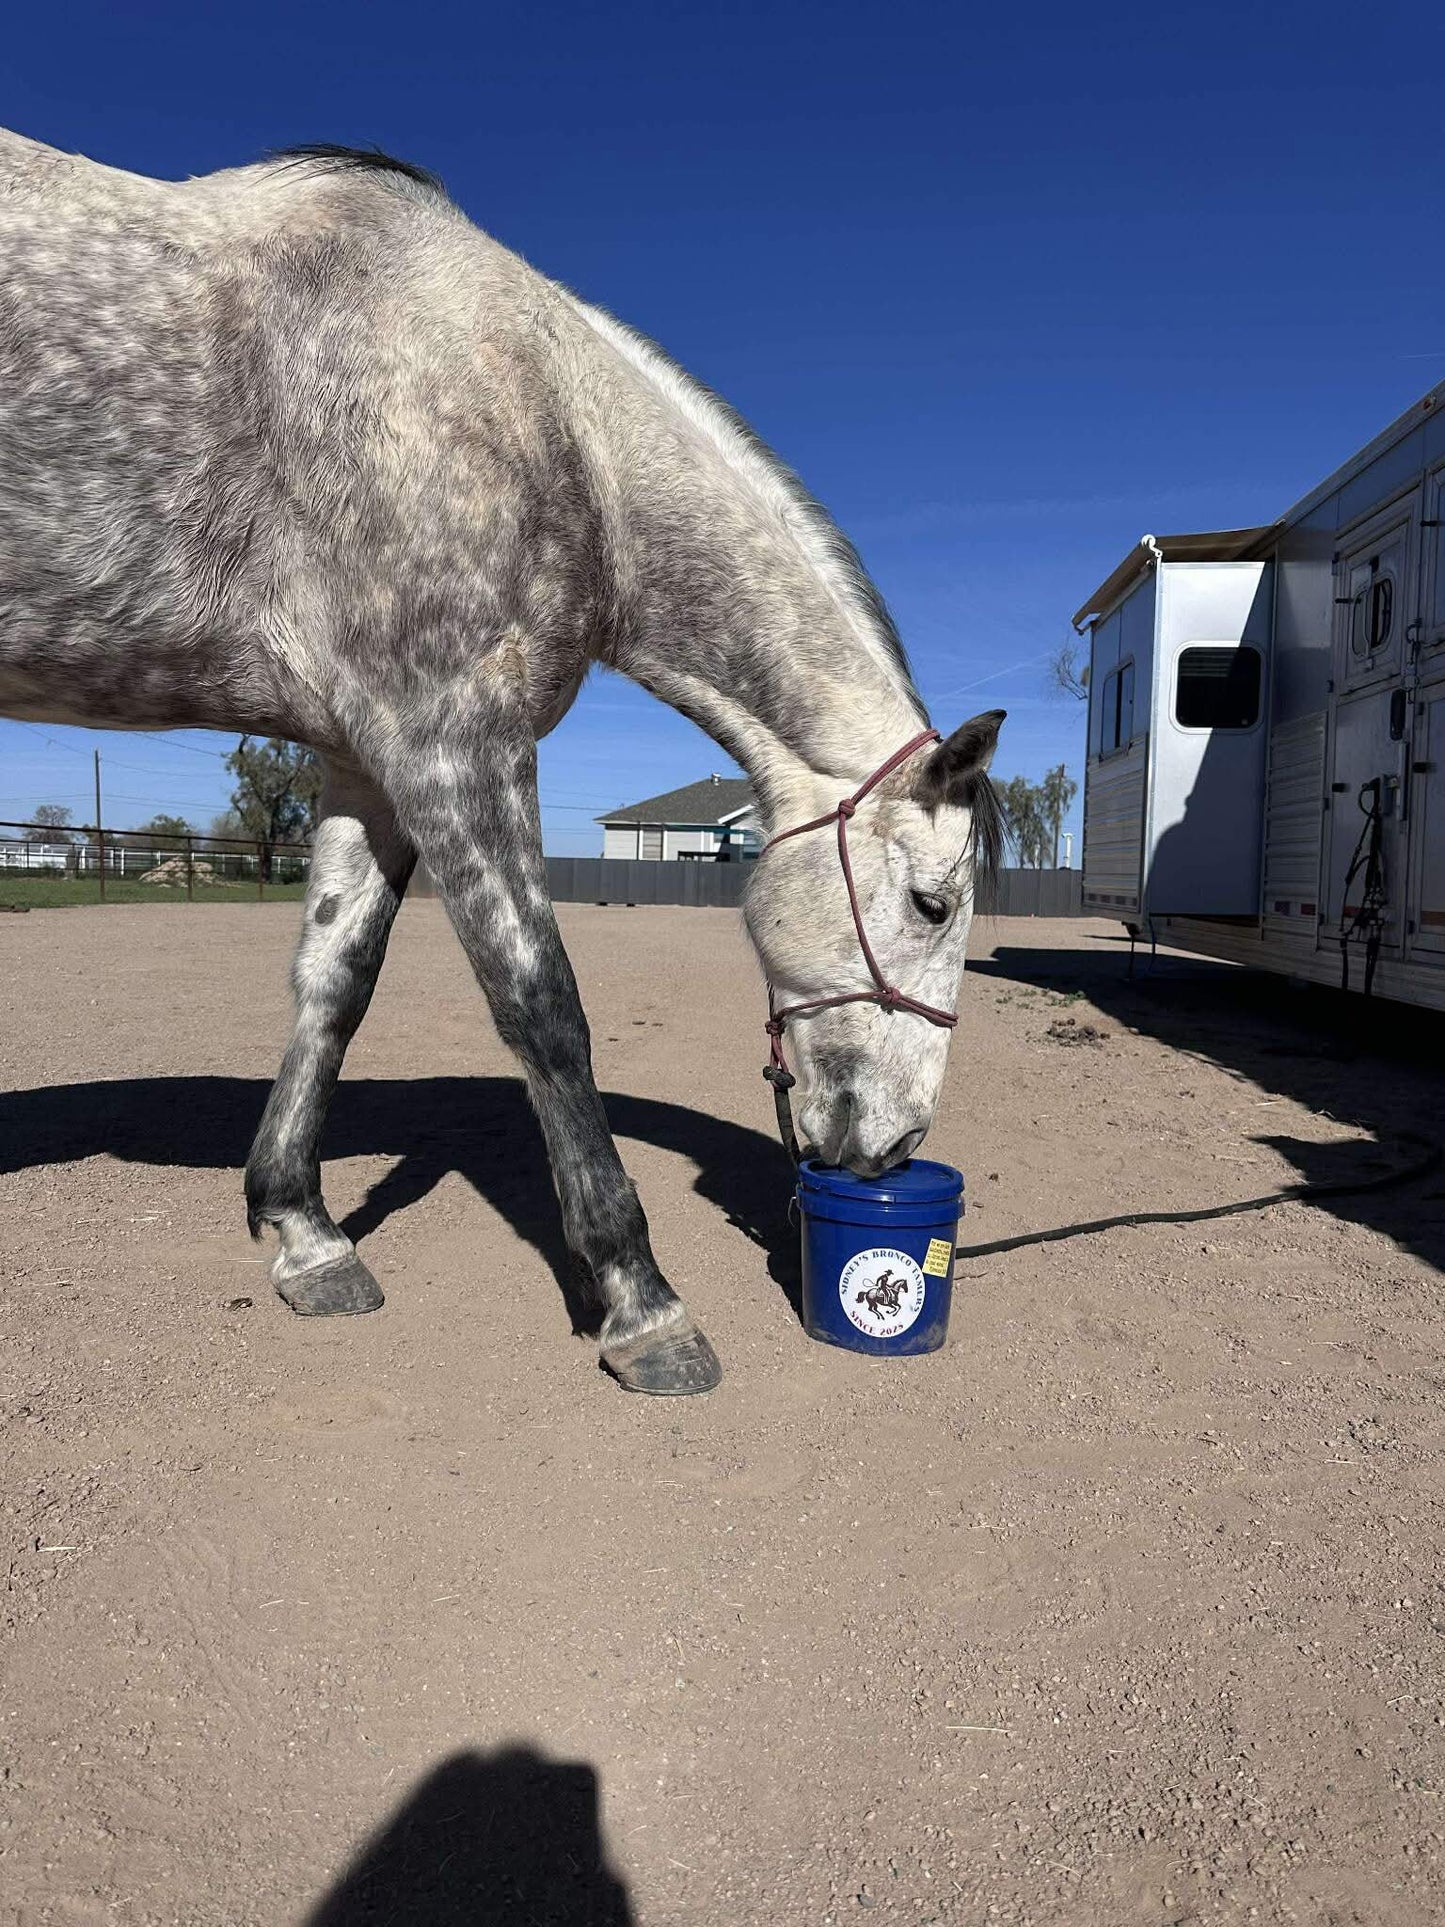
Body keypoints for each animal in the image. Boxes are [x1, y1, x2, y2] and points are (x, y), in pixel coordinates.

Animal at [0, 132, 1004, 1395]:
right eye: (929, 903)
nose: (895, 1146)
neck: (541, 416)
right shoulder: (454, 742)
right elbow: (542, 1007)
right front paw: (641, 1302)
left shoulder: (367, 762)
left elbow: (331, 983)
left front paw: (303, 1231)